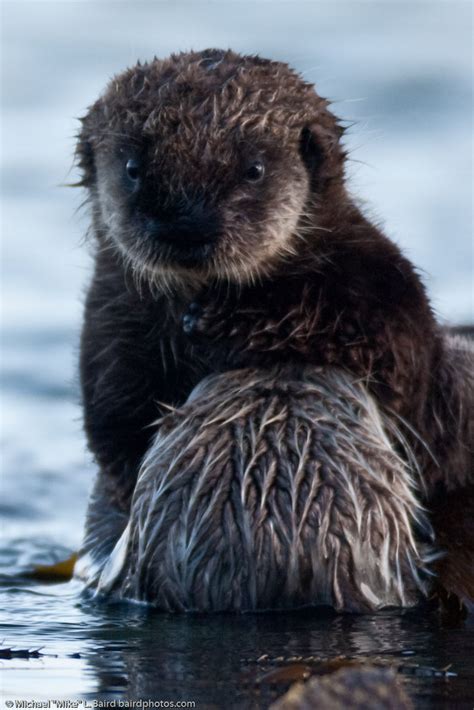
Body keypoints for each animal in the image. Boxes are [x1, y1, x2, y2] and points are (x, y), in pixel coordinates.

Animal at [75, 48, 474, 612]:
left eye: (254, 171)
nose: (187, 225)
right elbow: (114, 423)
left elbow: (393, 354)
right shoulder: (111, 322)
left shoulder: (385, 292)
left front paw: (223, 323)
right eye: (132, 169)